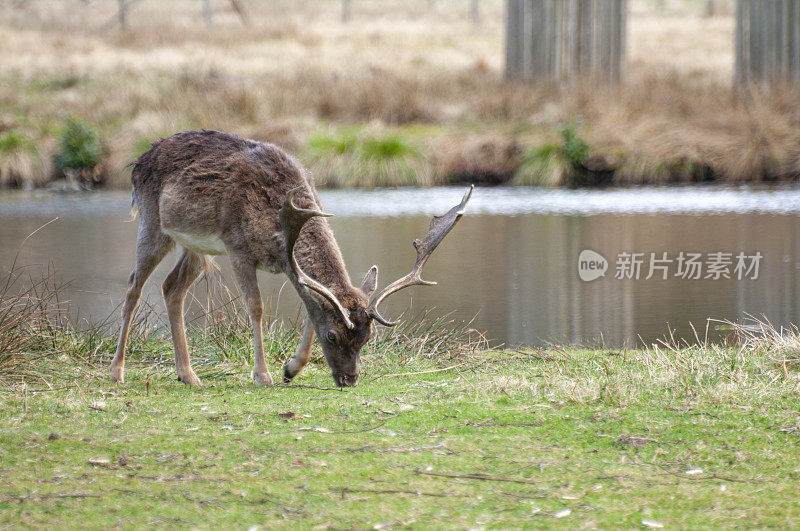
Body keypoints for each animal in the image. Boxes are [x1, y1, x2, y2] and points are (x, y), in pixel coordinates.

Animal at [111, 129, 476, 386]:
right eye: (334, 336)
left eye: (367, 337)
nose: (350, 380)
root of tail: (138, 160)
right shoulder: (238, 248)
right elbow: (256, 307)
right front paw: (263, 375)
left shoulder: (288, 264)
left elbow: (310, 308)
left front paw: (291, 368)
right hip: (152, 223)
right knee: (132, 287)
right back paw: (118, 371)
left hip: (196, 247)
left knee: (172, 288)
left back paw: (187, 374)